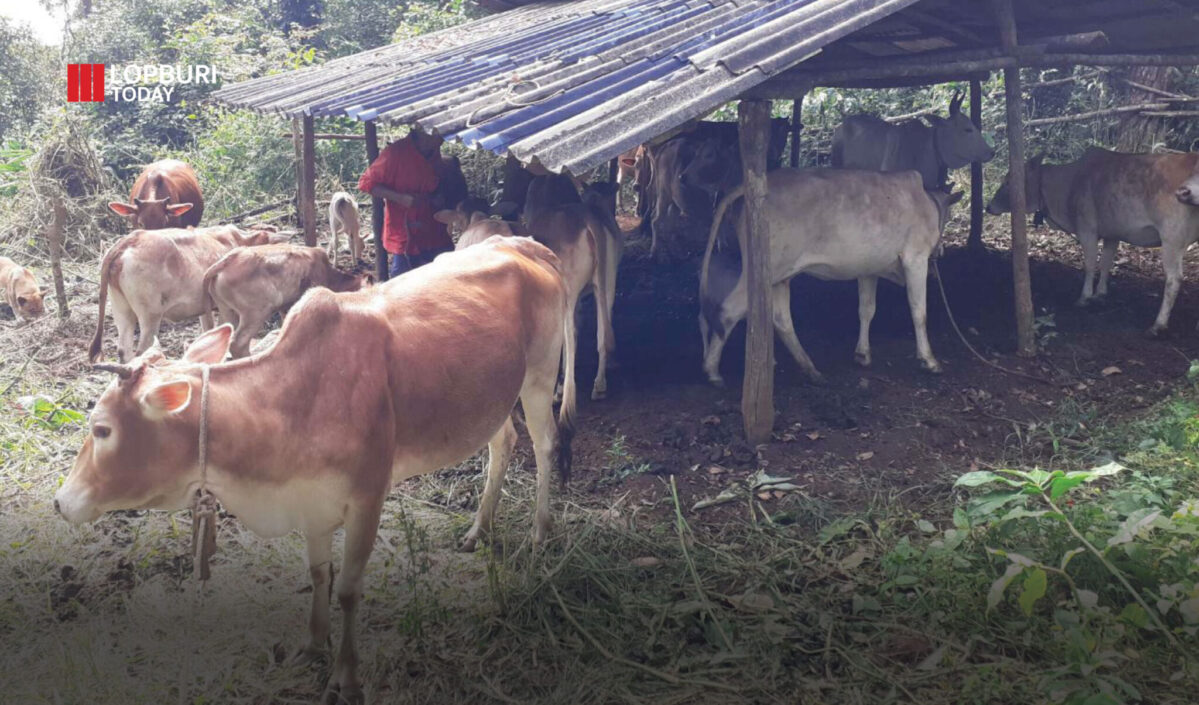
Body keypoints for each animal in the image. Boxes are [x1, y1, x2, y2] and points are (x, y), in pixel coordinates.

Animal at [89, 224, 286, 364]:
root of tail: (132, 238)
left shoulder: (205, 309)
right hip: (150, 315)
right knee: (142, 351)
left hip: (121, 309)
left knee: (124, 351)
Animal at [700, 169, 959, 386]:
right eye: (947, 216)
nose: (941, 252)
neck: (927, 202)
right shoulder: (915, 259)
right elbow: (919, 312)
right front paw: (929, 360)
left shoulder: (868, 269)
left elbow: (866, 310)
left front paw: (862, 354)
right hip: (764, 270)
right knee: (729, 311)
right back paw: (712, 371)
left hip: (780, 276)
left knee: (781, 319)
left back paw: (810, 369)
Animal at [987, 147, 1199, 335]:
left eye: (1008, 182)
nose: (988, 207)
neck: (1068, 183)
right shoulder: (1112, 234)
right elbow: (1105, 264)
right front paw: (1100, 294)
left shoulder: (1087, 229)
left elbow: (1089, 265)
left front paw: (1085, 297)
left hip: (1171, 240)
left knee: (1174, 279)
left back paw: (1158, 325)